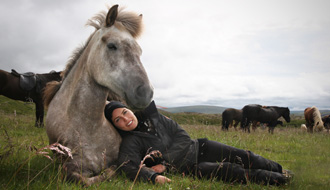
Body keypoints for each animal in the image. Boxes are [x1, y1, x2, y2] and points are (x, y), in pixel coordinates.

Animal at [43, 4, 154, 186]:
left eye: (140, 51)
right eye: (112, 46)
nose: (145, 93)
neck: (88, 130)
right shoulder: (69, 168)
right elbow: (84, 178)